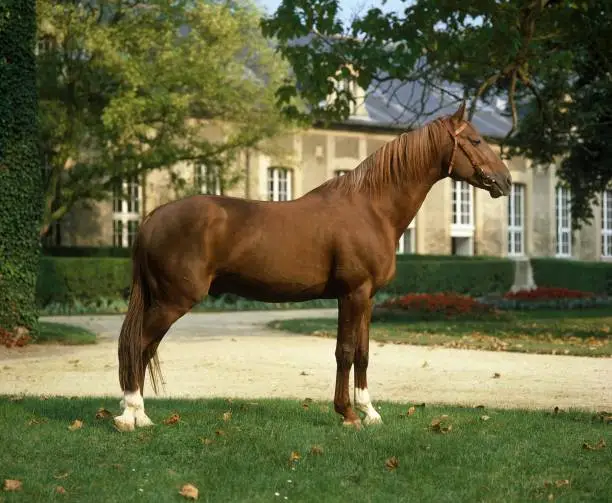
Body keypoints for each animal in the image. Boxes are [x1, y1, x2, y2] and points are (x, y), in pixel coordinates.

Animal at [113, 101, 512, 434]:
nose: (505, 180)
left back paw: (142, 415)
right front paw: (348, 414)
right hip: (173, 302)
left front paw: (370, 412)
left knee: (144, 348)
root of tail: (152, 218)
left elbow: (363, 353)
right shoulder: (353, 294)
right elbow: (345, 352)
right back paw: (129, 416)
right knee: (137, 344)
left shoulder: (365, 297)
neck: (371, 209)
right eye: (475, 140)